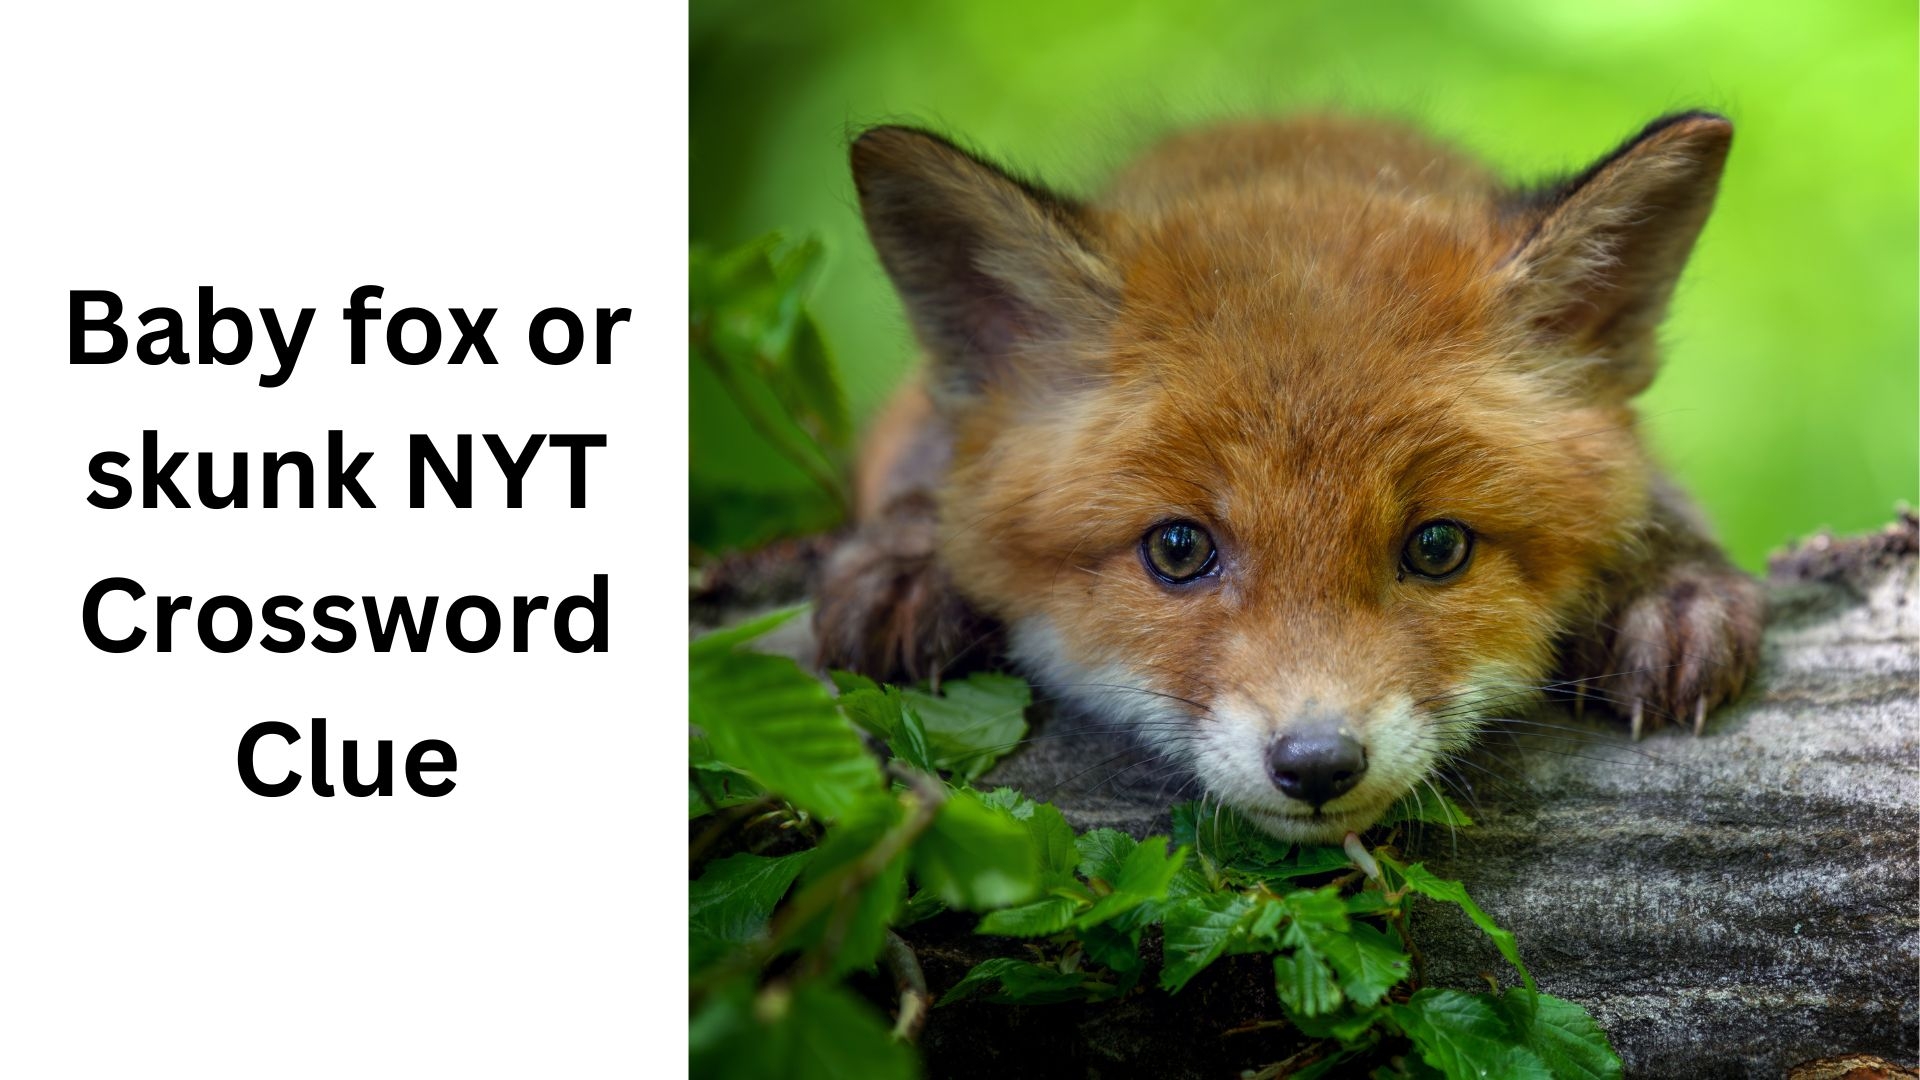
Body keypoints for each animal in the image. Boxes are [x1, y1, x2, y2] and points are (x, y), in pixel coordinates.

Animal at [813, 111, 1764, 843]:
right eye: (1178, 549)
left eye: (1439, 547)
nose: (1316, 765)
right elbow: (926, 485)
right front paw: (910, 561)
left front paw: (1664, 584)